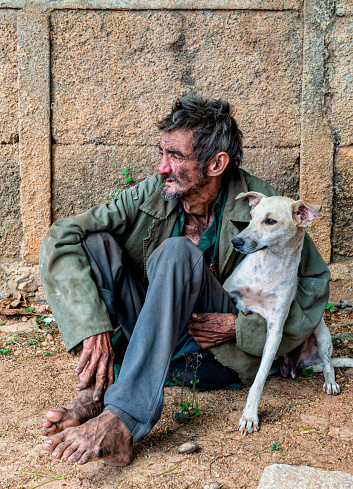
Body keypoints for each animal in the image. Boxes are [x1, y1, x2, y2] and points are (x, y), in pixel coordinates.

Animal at [223, 192, 352, 434]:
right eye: (251, 217)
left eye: (270, 221)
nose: (236, 242)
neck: (267, 268)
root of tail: (298, 365)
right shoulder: (233, 296)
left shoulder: (275, 328)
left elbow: (259, 379)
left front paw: (250, 415)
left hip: (322, 331)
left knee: (328, 363)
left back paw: (330, 382)